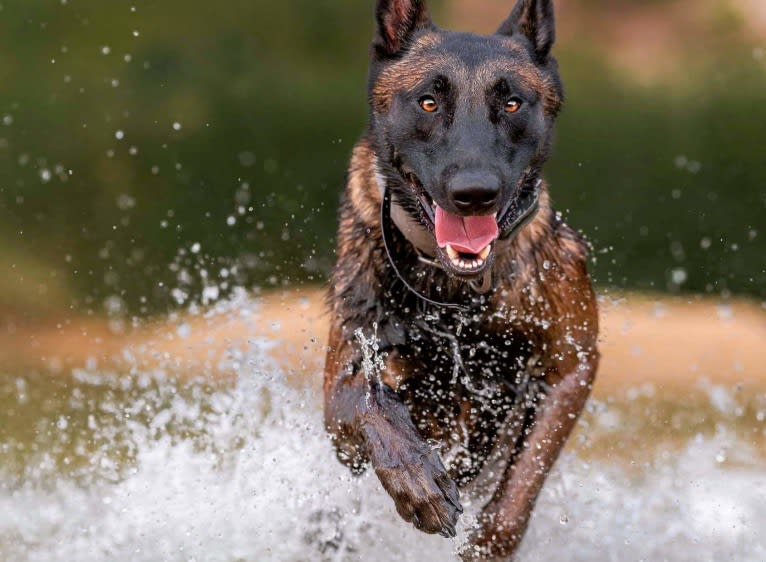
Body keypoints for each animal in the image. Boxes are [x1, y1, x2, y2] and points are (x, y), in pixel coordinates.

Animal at [324, 1, 600, 556]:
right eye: (428, 103)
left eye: (513, 104)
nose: (474, 194)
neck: (453, 291)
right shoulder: (339, 396)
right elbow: (369, 399)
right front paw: (418, 483)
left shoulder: (572, 364)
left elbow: (519, 485)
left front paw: (486, 543)